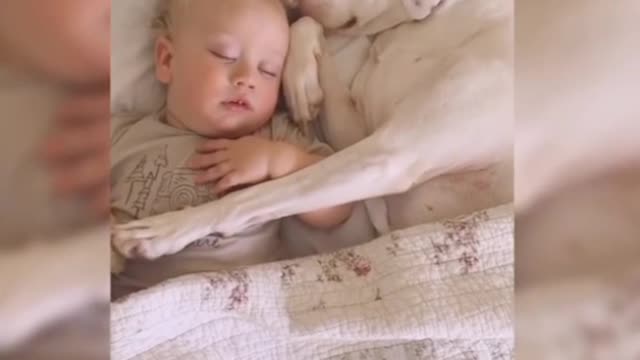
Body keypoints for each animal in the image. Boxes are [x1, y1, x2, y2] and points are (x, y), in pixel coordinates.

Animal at [112, 0, 512, 258]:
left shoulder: (387, 157)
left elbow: (250, 198)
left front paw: (166, 229)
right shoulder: (361, 135)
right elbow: (305, 26)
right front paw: (301, 79)